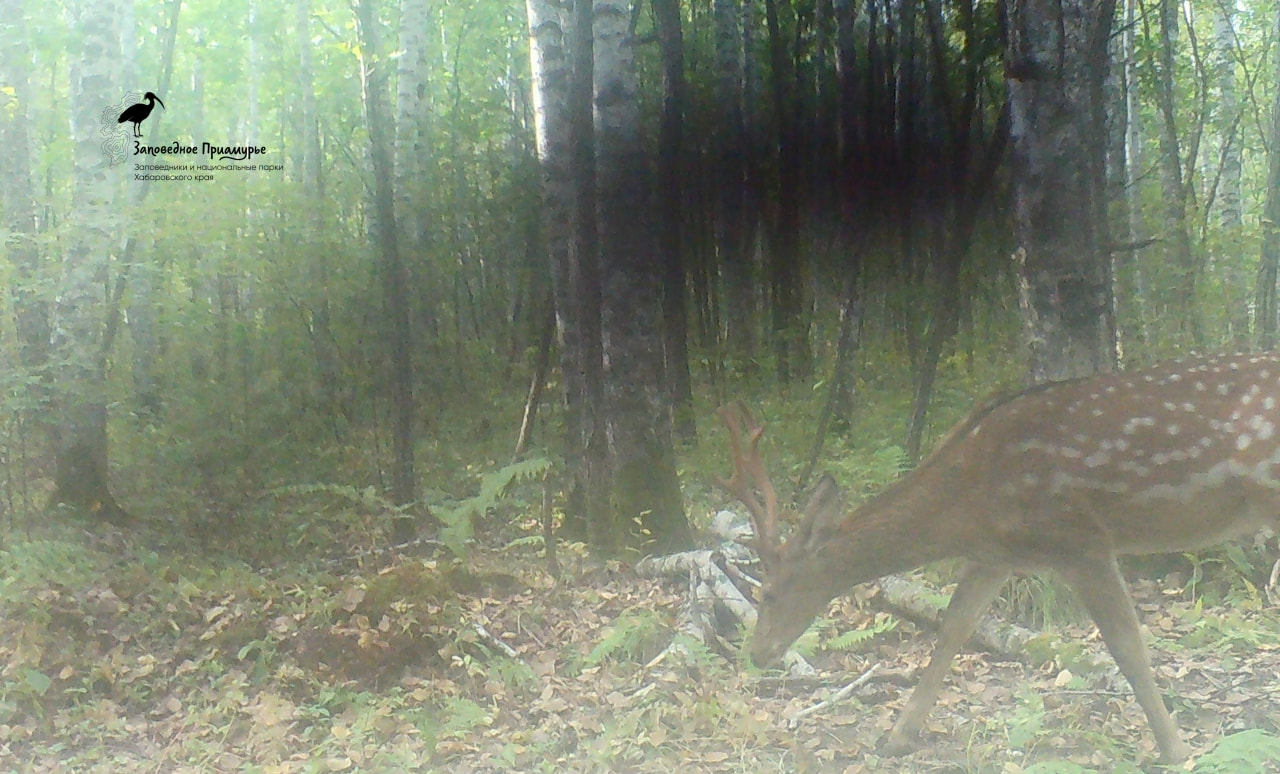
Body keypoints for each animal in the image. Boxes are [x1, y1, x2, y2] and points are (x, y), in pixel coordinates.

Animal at [716, 350, 1280, 762]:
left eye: (768, 593)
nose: (757, 653)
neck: (965, 503)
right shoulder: (997, 555)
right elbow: (953, 627)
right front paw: (897, 737)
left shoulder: (1078, 540)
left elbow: (1128, 646)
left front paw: (1176, 750)